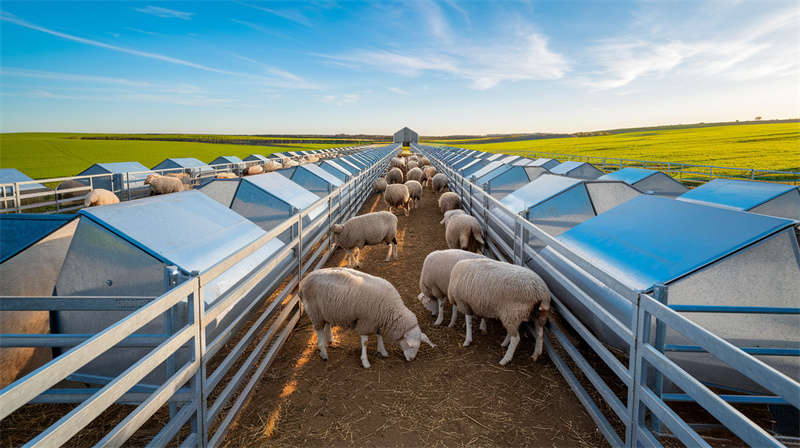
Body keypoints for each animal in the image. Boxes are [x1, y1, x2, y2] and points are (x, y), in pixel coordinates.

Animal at [296, 266, 434, 368]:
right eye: (410, 346)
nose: (411, 359)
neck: (390, 309)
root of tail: (304, 280)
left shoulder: (377, 320)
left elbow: (380, 336)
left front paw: (382, 351)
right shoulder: (365, 321)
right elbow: (365, 342)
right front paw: (365, 361)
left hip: (326, 310)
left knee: (327, 324)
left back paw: (329, 339)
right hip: (315, 312)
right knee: (319, 330)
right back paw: (323, 353)